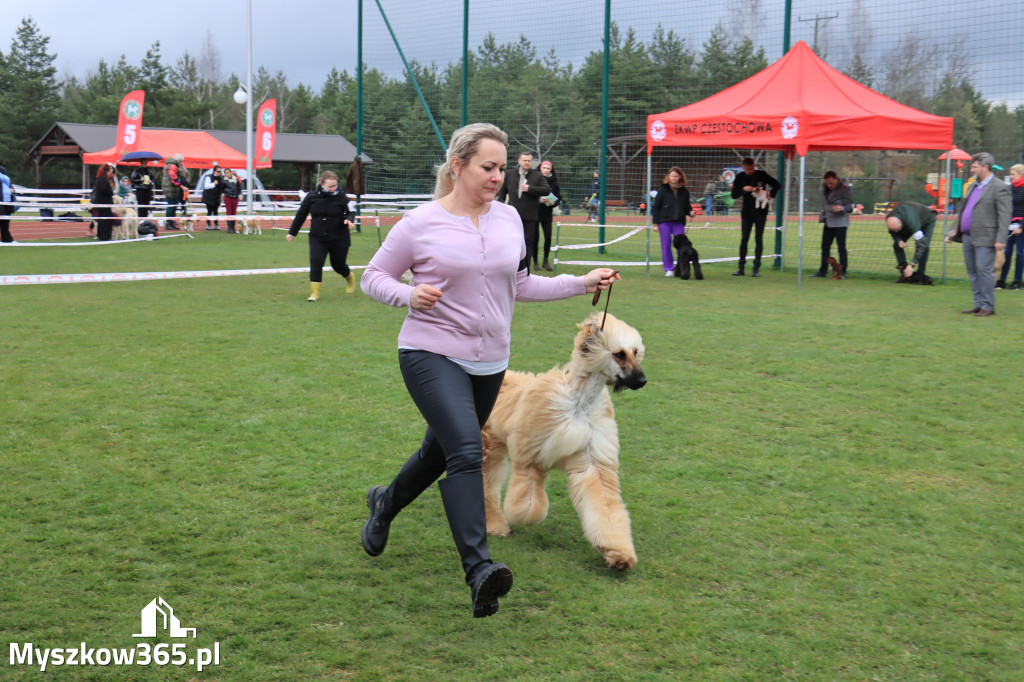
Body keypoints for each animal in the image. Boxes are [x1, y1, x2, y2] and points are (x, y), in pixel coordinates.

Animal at [481, 311, 643, 565]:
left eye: (636, 352)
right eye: (618, 354)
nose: (642, 380)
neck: (580, 402)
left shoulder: (594, 460)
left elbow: (604, 504)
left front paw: (618, 552)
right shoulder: (530, 455)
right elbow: (529, 503)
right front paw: (522, 515)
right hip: (488, 444)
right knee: (487, 484)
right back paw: (496, 524)